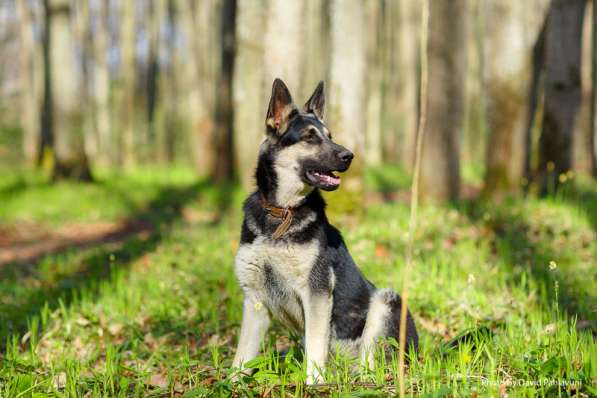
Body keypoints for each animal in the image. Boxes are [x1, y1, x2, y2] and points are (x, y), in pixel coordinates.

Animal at [230, 78, 416, 386]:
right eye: (310, 137)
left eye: (330, 135)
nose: (349, 156)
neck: (282, 212)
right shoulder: (255, 300)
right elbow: (242, 356)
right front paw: (230, 384)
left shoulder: (316, 294)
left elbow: (316, 348)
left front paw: (314, 384)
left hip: (386, 301)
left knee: (369, 362)